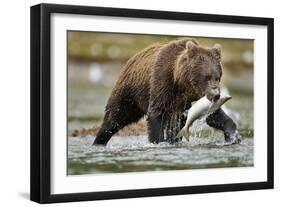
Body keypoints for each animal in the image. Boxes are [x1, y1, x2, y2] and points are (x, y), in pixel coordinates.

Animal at [93, 38, 240, 146]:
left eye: (217, 77)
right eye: (207, 77)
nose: (216, 94)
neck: (182, 84)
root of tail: (131, 59)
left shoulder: (192, 100)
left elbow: (214, 115)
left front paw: (233, 136)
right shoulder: (162, 84)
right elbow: (156, 114)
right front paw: (158, 141)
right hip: (130, 93)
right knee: (114, 118)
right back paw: (98, 141)